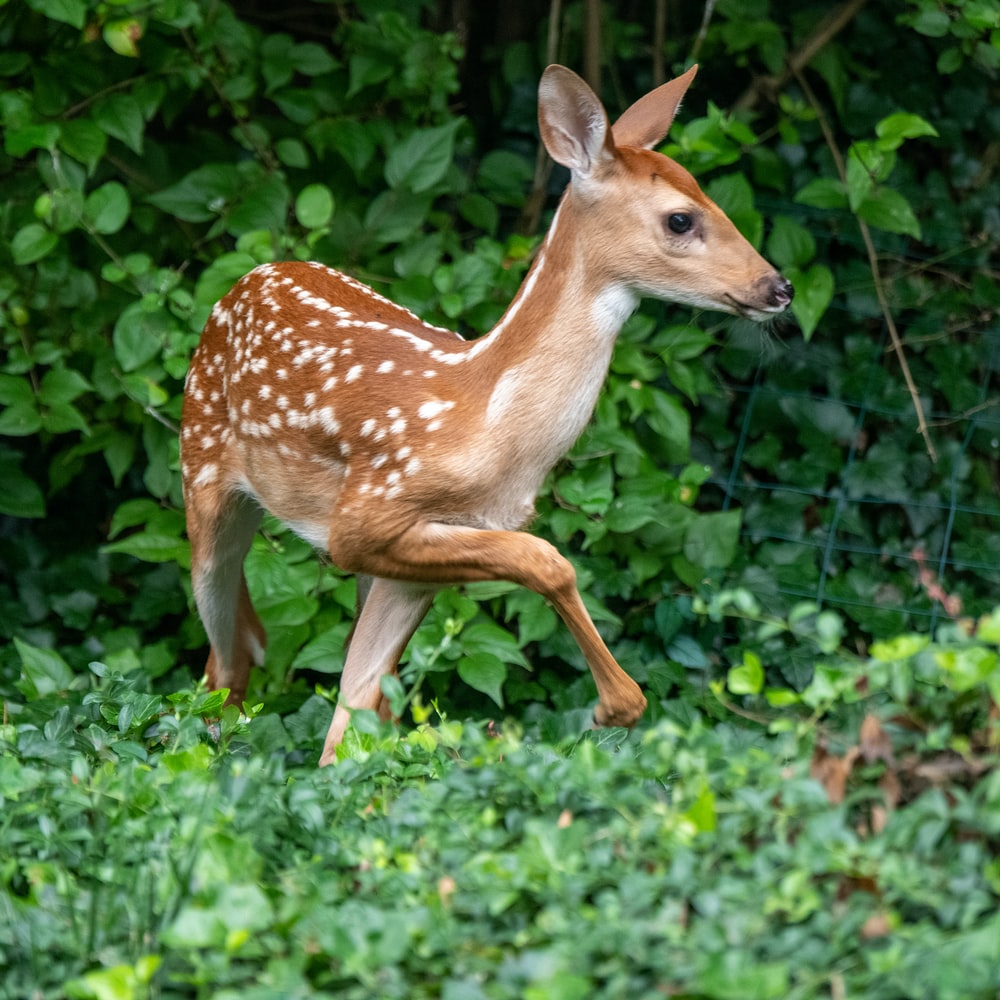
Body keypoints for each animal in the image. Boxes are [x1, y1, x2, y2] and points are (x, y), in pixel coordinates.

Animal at [178, 64, 788, 764]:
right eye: (681, 219)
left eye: (711, 197)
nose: (778, 287)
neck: (489, 423)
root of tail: (245, 278)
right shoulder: (363, 520)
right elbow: (548, 560)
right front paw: (617, 704)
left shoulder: (414, 565)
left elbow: (350, 720)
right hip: (202, 476)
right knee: (224, 654)